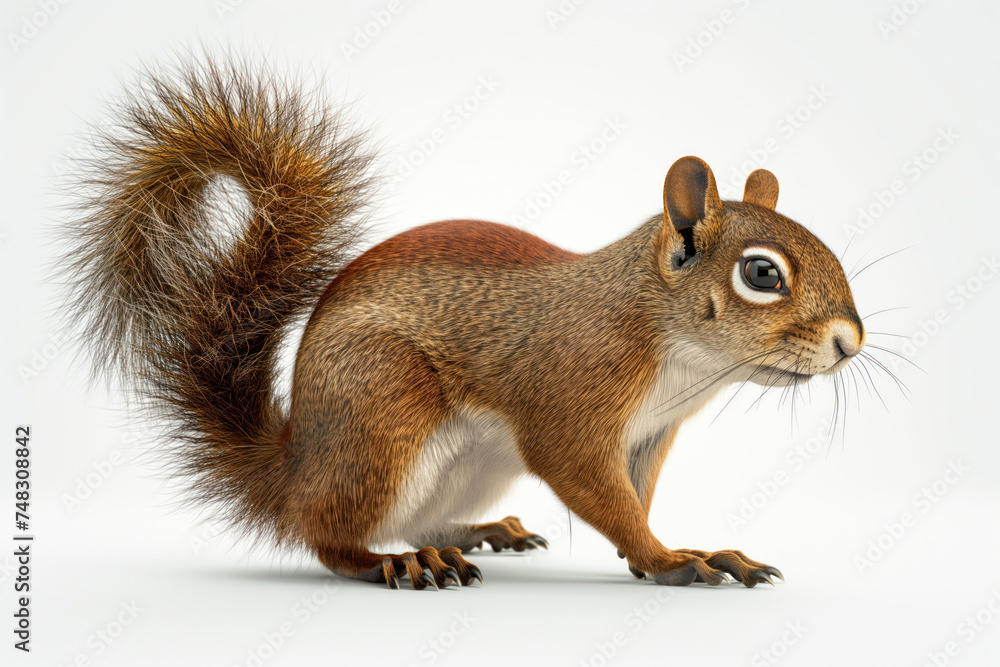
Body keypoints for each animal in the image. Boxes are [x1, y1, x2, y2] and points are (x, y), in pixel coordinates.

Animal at [62, 57, 865, 590]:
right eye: (762, 274)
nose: (851, 342)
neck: (676, 352)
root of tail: (293, 471)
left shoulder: (650, 435)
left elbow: (634, 496)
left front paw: (671, 552)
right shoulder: (571, 399)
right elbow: (596, 489)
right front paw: (669, 558)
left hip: (467, 467)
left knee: (418, 517)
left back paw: (480, 535)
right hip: (384, 416)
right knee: (329, 536)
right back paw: (397, 562)